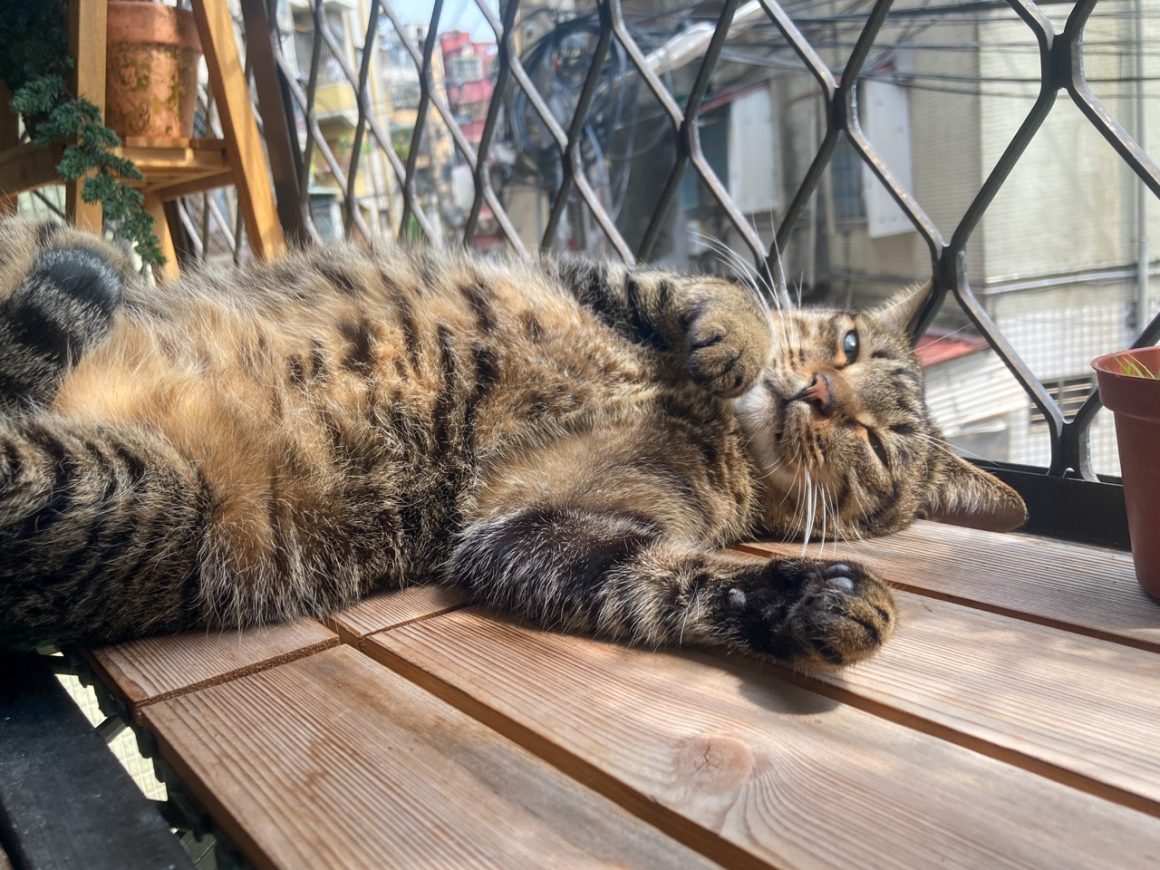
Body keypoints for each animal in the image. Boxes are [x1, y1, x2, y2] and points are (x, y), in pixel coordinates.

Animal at [0, 218, 1020, 668]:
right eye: (846, 345)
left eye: (876, 445)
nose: (817, 392)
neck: (711, 425)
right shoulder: (584, 275)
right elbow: (687, 287)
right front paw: (738, 335)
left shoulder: (533, 525)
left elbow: (669, 582)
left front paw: (802, 601)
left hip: (140, 496)